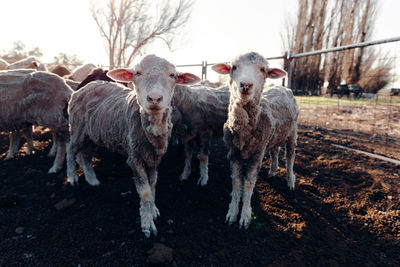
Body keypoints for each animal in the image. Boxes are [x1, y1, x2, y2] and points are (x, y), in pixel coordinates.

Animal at [67, 55, 202, 239]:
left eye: (173, 75)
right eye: (137, 73)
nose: (154, 98)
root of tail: (86, 86)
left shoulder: (154, 158)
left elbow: (153, 185)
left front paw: (153, 210)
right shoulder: (134, 157)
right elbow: (144, 191)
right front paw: (147, 225)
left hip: (92, 135)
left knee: (85, 156)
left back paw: (92, 180)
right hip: (77, 128)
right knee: (71, 150)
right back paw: (72, 178)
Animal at [211, 51, 298, 228]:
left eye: (262, 69)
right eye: (233, 67)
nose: (245, 85)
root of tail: (282, 86)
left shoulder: (257, 154)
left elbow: (249, 183)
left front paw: (245, 216)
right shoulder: (234, 153)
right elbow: (237, 182)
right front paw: (232, 213)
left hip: (292, 132)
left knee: (290, 156)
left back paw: (290, 181)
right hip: (273, 135)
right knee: (274, 151)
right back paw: (272, 171)